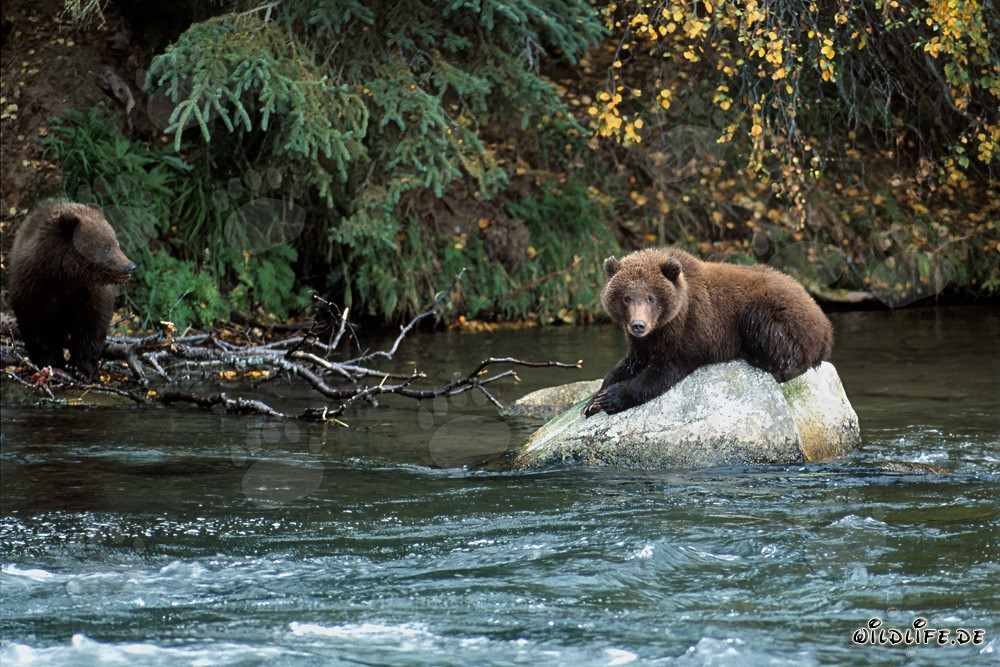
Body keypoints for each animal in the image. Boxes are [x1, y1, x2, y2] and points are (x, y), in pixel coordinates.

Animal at [9, 201, 136, 380]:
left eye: (116, 243)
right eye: (106, 247)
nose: (130, 266)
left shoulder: (91, 294)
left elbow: (91, 328)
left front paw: (83, 369)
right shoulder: (34, 287)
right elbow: (38, 327)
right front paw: (48, 362)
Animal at [583, 247, 833, 417]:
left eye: (650, 297)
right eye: (626, 297)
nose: (638, 325)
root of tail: (823, 321)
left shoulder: (692, 332)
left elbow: (661, 372)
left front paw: (612, 397)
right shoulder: (647, 342)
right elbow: (627, 364)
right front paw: (593, 400)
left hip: (780, 316)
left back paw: (752, 355)